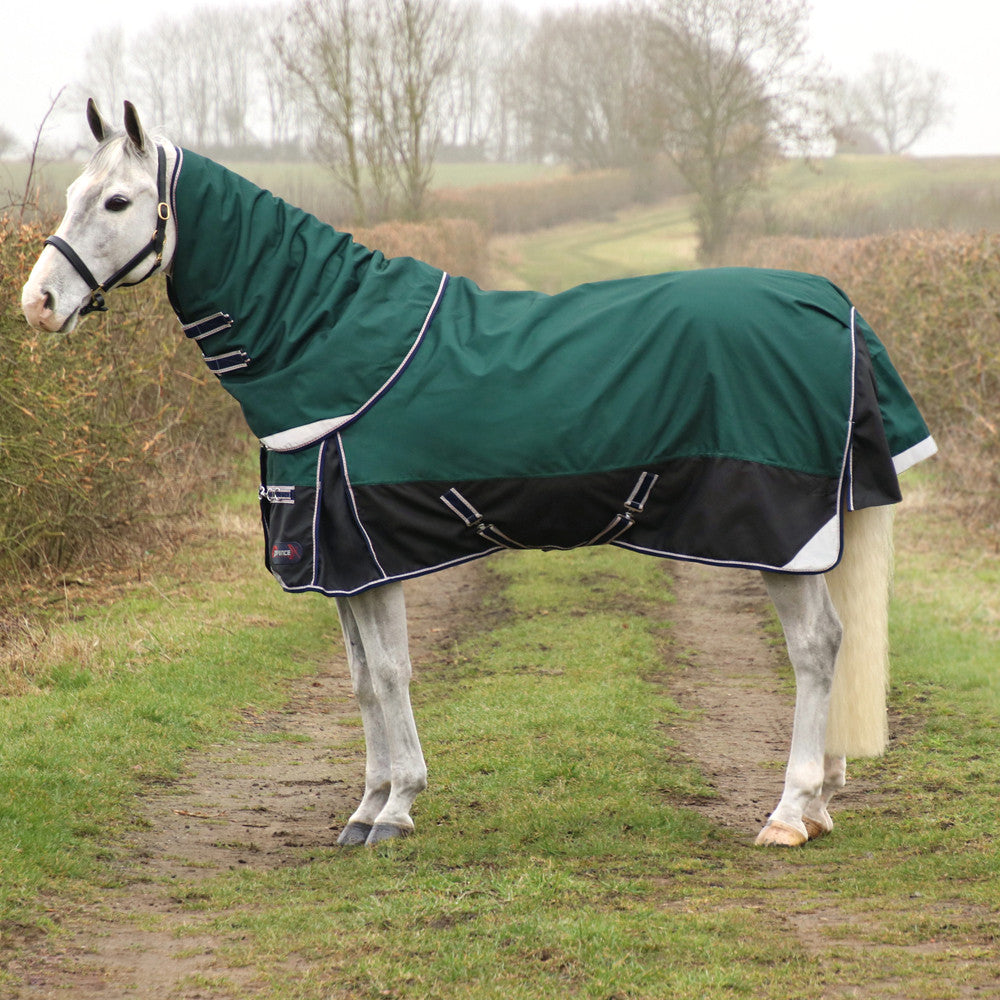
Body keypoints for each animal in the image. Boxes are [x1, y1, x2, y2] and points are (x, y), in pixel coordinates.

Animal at [22, 101, 936, 848]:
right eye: (72, 192)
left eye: (117, 202)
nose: (37, 303)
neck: (326, 341)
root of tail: (833, 304)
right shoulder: (337, 565)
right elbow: (362, 680)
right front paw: (366, 805)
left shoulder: (367, 549)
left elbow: (392, 672)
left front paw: (395, 810)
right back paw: (817, 807)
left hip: (782, 536)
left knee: (816, 649)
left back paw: (789, 811)